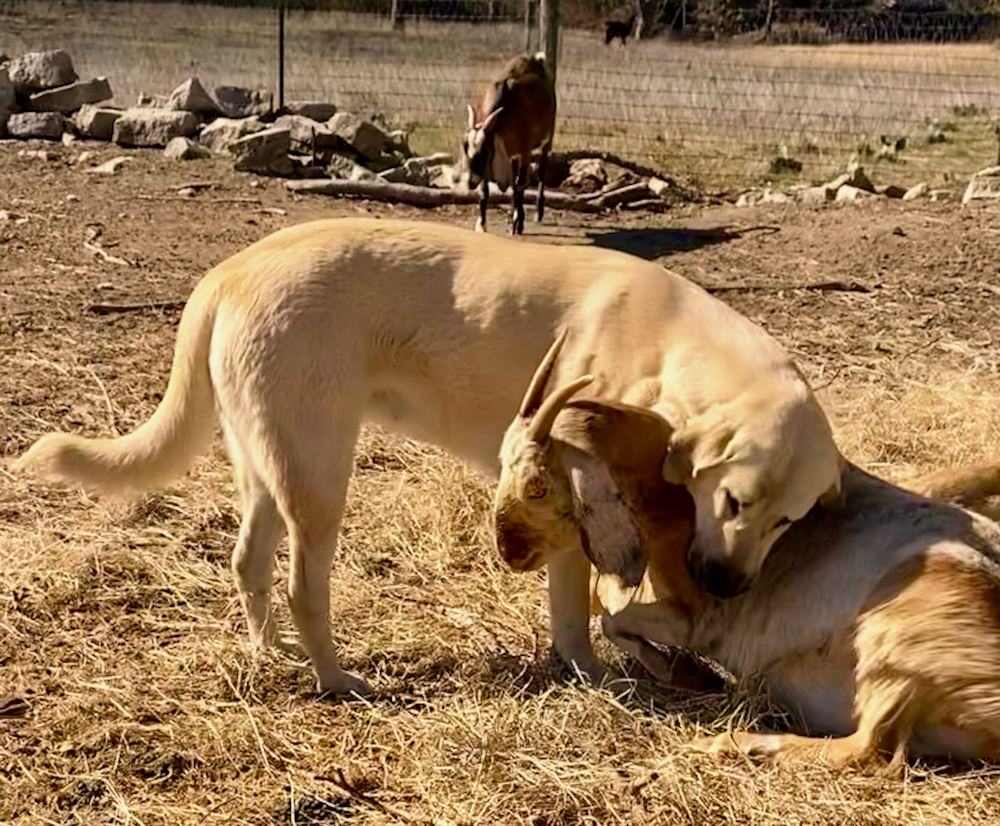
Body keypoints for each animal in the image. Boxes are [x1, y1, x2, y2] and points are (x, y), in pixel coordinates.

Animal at [460, 51, 556, 233]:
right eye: (465, 148)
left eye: (484, 152)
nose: (470, 182)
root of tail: (535, 60)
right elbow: (486, 190)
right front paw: (481, 224)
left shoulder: (525, 150)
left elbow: (520, 184)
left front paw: (516, 222)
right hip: (513, 155)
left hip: (547, 139)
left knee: (541, 171)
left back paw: (537, 212)